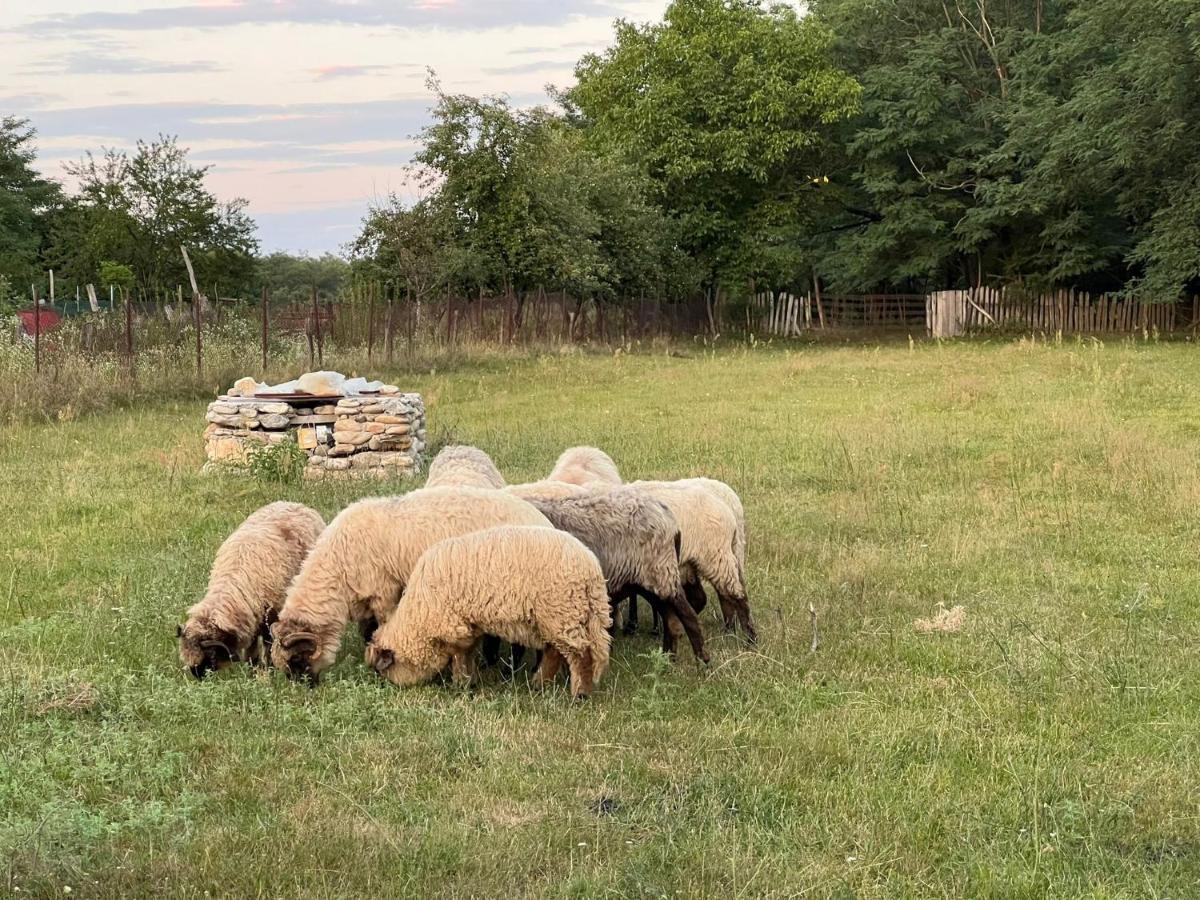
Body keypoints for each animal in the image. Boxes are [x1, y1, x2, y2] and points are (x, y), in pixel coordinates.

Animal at [175, 501, 326, 681]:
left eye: (211, 654)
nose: (199, 677)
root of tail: (296, 504)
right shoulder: (251, 619)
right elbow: (251, 650)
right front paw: (251, 669)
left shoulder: (270, 616)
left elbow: (268, 645)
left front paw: (268, 669)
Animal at [270, 489, 549, 686]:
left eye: (297, 659)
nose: (306, 688)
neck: (338, 566)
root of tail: (543, 521)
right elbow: (367, 632)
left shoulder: (383, 593)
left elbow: (379, 628)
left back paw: (511, 673)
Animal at [362, 525, 609, 700]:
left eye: (384, 671)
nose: (386, 687)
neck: (420, 615)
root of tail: (592, 570)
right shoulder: (469, 623)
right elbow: (469, 651)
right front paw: (469, 680)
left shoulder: (454, 623)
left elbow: (459, 654)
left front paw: (461, 682)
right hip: (555, 618)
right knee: (554, 652)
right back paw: (539, 684)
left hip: (562, 612)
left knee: (581, 656)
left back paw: (579, 695)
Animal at [520, 489, 705, 667]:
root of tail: (667, 515)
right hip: (650, 583)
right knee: (671, 621)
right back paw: (666, 661)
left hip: (662, 574)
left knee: (688, 616)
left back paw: (702, 663)